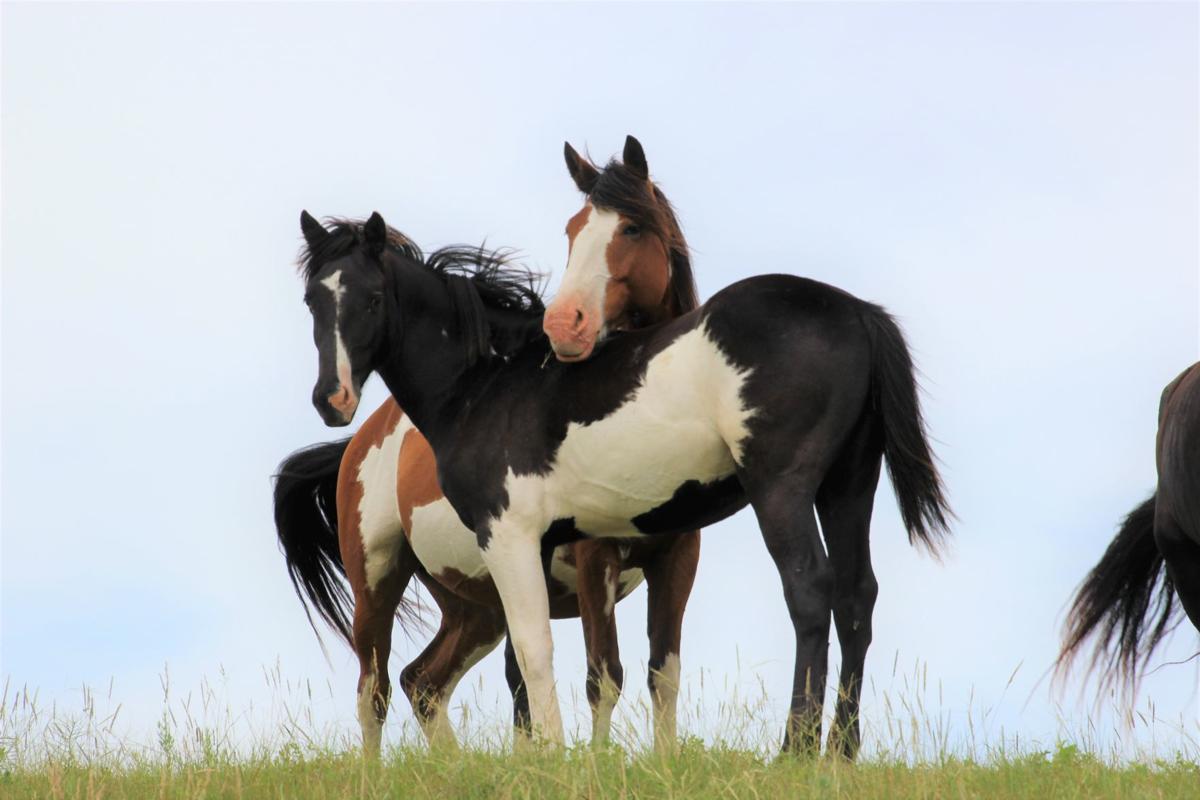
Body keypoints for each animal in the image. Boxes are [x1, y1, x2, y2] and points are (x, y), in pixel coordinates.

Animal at [274, 139, 702, 754]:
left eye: (632, 227)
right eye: (312, 301)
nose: (333, 397)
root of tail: (363, 438)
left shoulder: (678, 554)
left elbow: (661, 673)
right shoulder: (595, 557)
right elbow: (603, 676)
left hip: (474, 607)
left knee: (423, 682)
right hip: (377, 579)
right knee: (374, 690)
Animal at [292, 207, 952, 757]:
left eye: (374, 297)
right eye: (311, 300)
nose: (331, 398)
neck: (491, 381)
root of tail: (856, 312)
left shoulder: (511, 537)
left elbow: (539, 654)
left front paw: (555, 757)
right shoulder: (550, 550)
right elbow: (554, 666)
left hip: (781, 492)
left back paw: (794, 751)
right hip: (847, 487)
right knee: (857, 597)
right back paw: (841, 751)